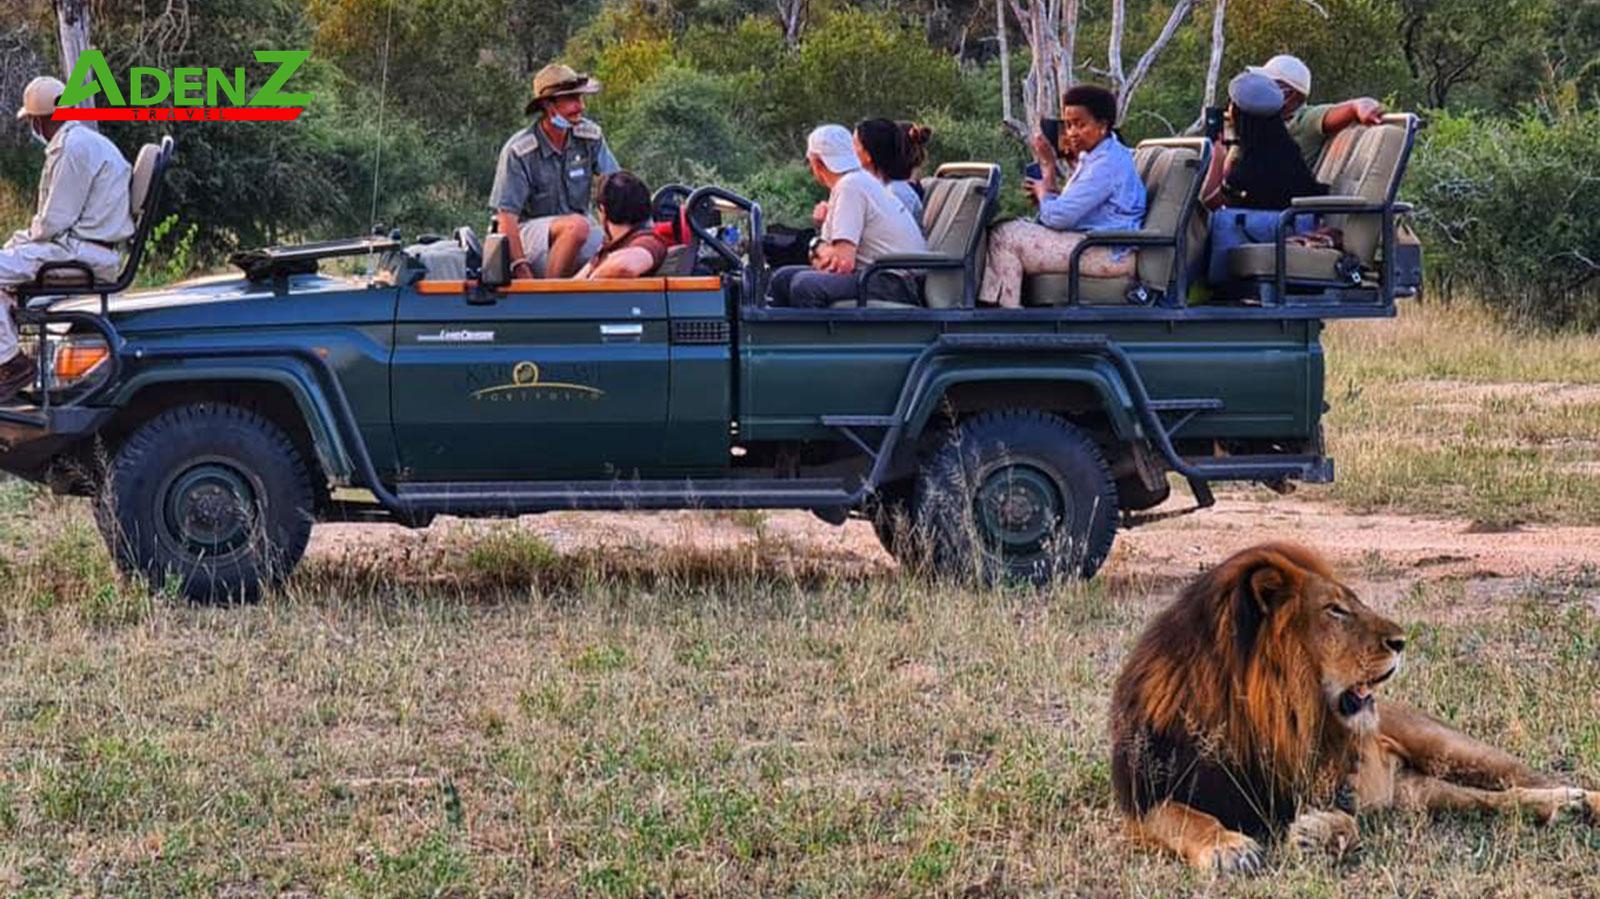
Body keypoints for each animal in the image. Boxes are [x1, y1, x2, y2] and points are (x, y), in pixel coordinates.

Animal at [1113, 537, 1600, 870]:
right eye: (1335, 610)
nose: (1402, 641)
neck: (1260, 715)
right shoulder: (1143, 797)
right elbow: (1184, 818)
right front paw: (1228, 847)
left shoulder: (1333, 788)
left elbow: (1345, 822)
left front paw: (1317, 834)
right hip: (1417, 794)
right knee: (1492, 801)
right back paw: (1562, 808)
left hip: (1450, 748)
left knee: (1523, 780)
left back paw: (1578, 801)